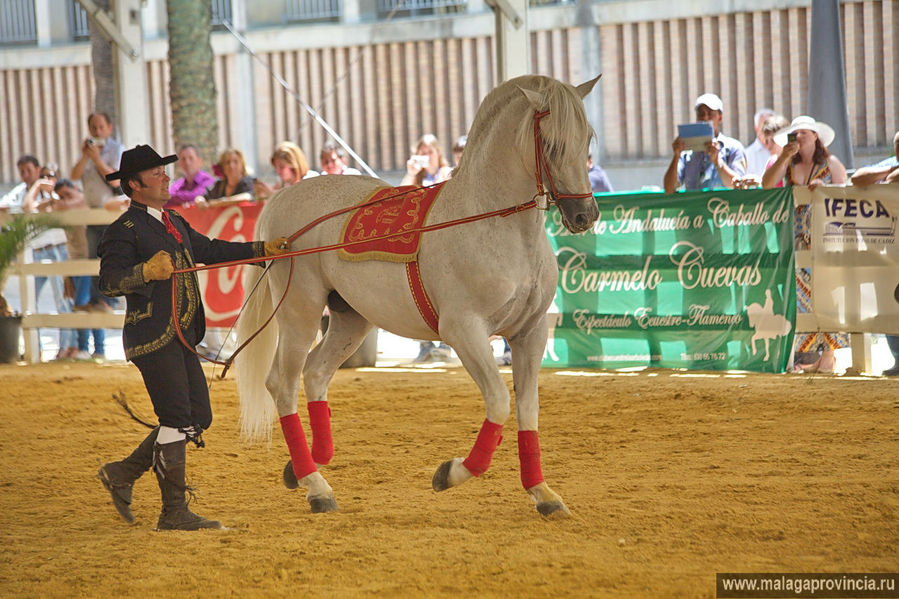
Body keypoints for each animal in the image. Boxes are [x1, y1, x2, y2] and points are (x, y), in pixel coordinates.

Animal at [239, 74, 600, 516]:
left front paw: (544, 494)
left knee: (316, 374)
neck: (492, 222)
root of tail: (281, 198)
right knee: (283, 384)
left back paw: (303, 466)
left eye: (588, 137)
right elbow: (500, 402)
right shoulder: (464, 331)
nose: (584, 216)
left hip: (350, 319)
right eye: (549, 143)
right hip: (300, 312)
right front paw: (450, 473)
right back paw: (316, 486)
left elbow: (528, 410)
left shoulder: (529, 334)